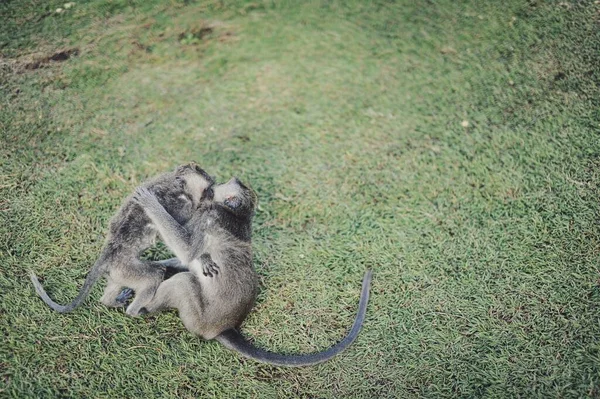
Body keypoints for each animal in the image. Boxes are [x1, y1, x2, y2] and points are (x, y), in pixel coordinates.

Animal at [29, 162, 216, 316]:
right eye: (209, 189)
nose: (212, 196)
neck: (179, 187)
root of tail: (107, 255)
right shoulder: (182, 206)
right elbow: (179, 244)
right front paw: (203, 257)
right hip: (125, 268)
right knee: (154, 274)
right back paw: (134, 312)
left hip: (117, 272)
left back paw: (109, 302)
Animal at [134, 179, 372, 368]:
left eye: (219, 186)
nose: (211, 185)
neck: (235, 214)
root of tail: (225, 328)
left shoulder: (208, 217)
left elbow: (188, 250)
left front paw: (150, 203)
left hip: (197, 318)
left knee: (183, 282)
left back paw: (139, 309)